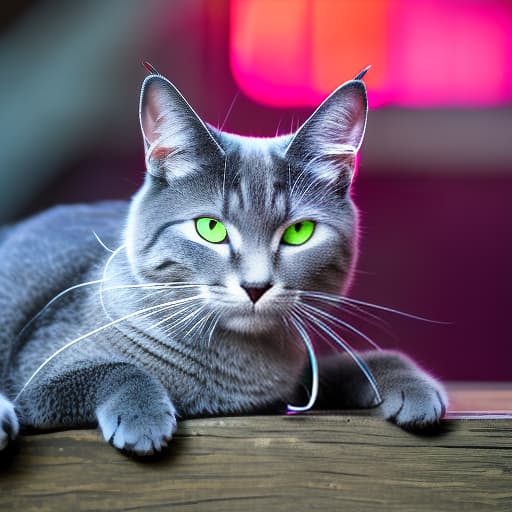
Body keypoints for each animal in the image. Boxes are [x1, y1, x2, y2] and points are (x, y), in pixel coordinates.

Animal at [0, 68, 446, 456]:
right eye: (210, 228)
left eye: (299, 232)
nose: (256, 286)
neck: (232, 373)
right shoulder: (38, 376)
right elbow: (116, 369)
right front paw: (144, 419)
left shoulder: (292, 383)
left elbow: (352, 364)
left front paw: (414, 386)